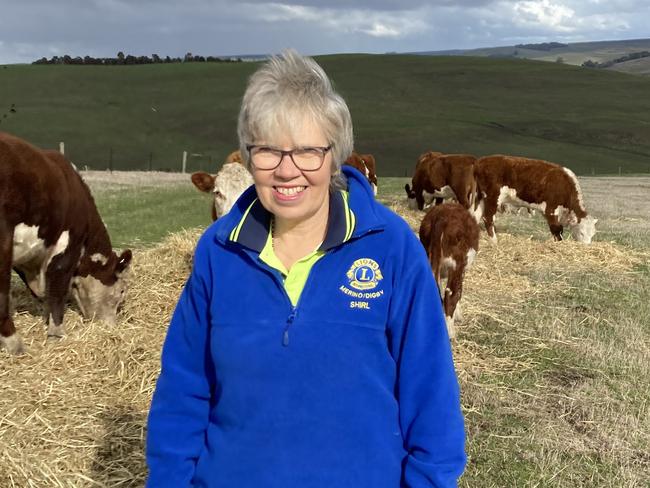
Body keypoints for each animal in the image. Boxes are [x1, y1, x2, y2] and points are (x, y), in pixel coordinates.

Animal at [0, 132, 133, 354]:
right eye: (121, 290)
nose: (111, 327)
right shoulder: (66, 247)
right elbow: (57, 291)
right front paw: (57, 333)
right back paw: (15, 344)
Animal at [468, 154, 596, 242]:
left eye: (592, 234)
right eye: (582, 233)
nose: (586, 247)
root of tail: (480, 162)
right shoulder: (551, 209)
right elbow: (556, 230)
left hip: (480, 199)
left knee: (475, 215)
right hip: (492, 198)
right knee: (488, 218)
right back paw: (494, 241)